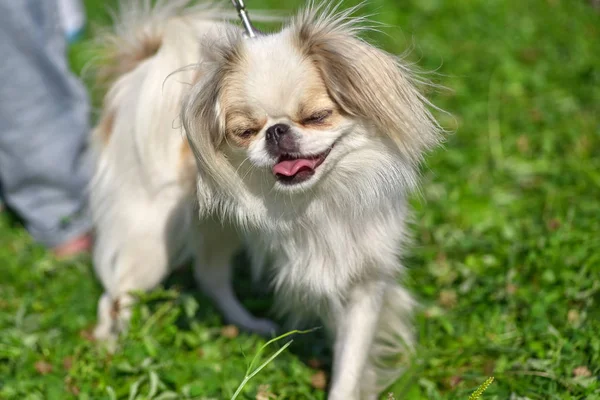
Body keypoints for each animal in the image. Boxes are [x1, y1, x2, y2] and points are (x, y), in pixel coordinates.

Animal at [91, 1, 442, 398]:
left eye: (318, 116)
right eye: (244, 131)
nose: (277, 130)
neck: (315, 199)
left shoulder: (363, 284)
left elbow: (350, 364)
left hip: (216, 229)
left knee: (209, 276)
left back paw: (249, 324)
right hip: (150, 241)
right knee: (116, 295)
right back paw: (109, 348)